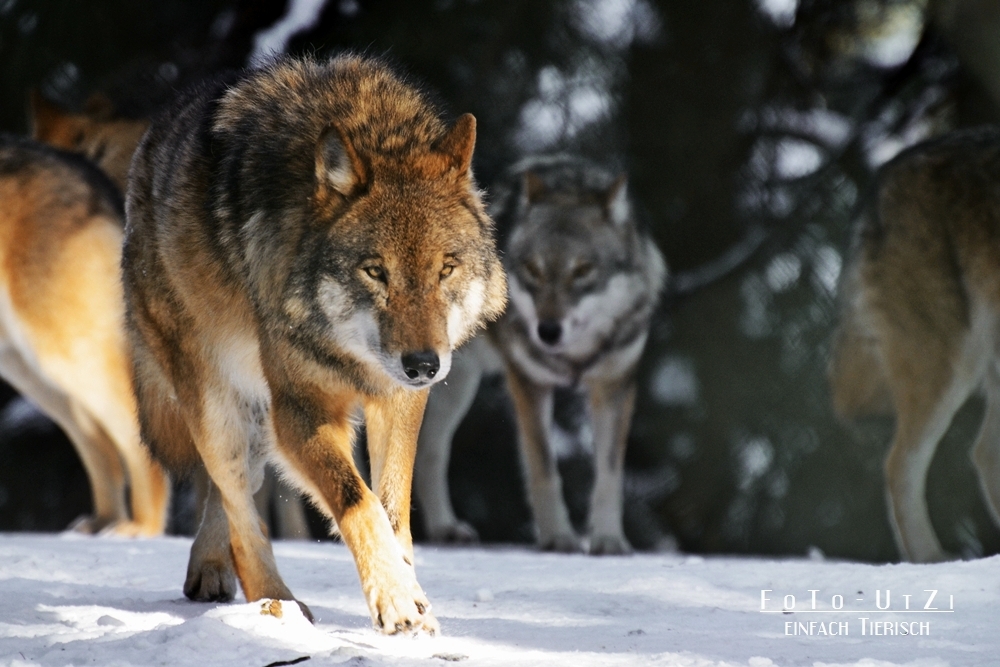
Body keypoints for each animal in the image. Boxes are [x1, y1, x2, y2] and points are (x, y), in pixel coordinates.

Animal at [0, 133, 168, 536]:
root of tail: (85, 169)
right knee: (100, 447)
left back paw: (140, 528)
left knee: (133, 438)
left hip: (65, 356)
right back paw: (104, 523)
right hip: (33, 373)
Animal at [121, 53, 504, 632]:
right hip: (217, 406)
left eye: (446, 269)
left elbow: (393, 510)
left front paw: (412, 596)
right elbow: (358, 502)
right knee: (239, 509)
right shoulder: (302, 410)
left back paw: (210, 569)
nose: (423, 365)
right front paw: (397, 599)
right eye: (375, 271)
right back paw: (277, 606)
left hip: (259, 419)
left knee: (229, 497)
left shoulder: (398, 401)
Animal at [414, 155, 664, 552]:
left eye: (583, 270)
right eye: (533, 270)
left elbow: (609, 475)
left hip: (454, 389)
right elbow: (544, 468)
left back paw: (444, 528)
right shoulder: (529, 383)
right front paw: (558, 537)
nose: (547, 331)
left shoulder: (614, 387)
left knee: (429, 452)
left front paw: (609, 540)